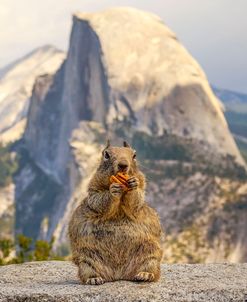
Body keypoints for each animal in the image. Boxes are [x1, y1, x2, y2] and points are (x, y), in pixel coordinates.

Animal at [68, 140, 163, 284]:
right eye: (106, 155)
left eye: (134, 155)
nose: (123, 165)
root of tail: (119, 275)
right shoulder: (94, 188)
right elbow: (98, 200)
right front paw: (113, 190)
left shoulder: (142, 186)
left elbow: (137, 199)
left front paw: (133, 185)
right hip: (86, 258)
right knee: (88, 270)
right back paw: (94, 279)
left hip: (150, 253)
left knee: (150, 267)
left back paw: (145, 275)